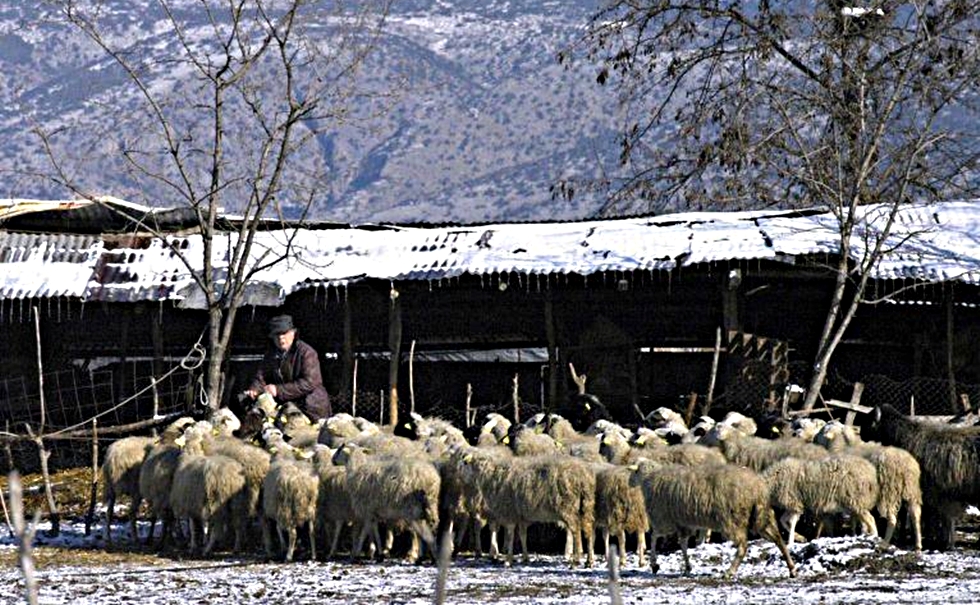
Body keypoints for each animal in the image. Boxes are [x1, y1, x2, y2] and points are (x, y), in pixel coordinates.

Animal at [628, 460, 796, 580]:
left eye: (634, 472)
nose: (629, 483)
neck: (649, 478)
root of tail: (757, 488)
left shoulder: (663, 519)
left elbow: (654, 537)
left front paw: (654, 564)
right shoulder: (683, 523)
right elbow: (683, 544)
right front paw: (687, 568)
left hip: (733, 520)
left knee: (743, 547)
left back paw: (729, 572)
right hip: (761, 516)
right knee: (778, 539)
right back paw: (792, 569)